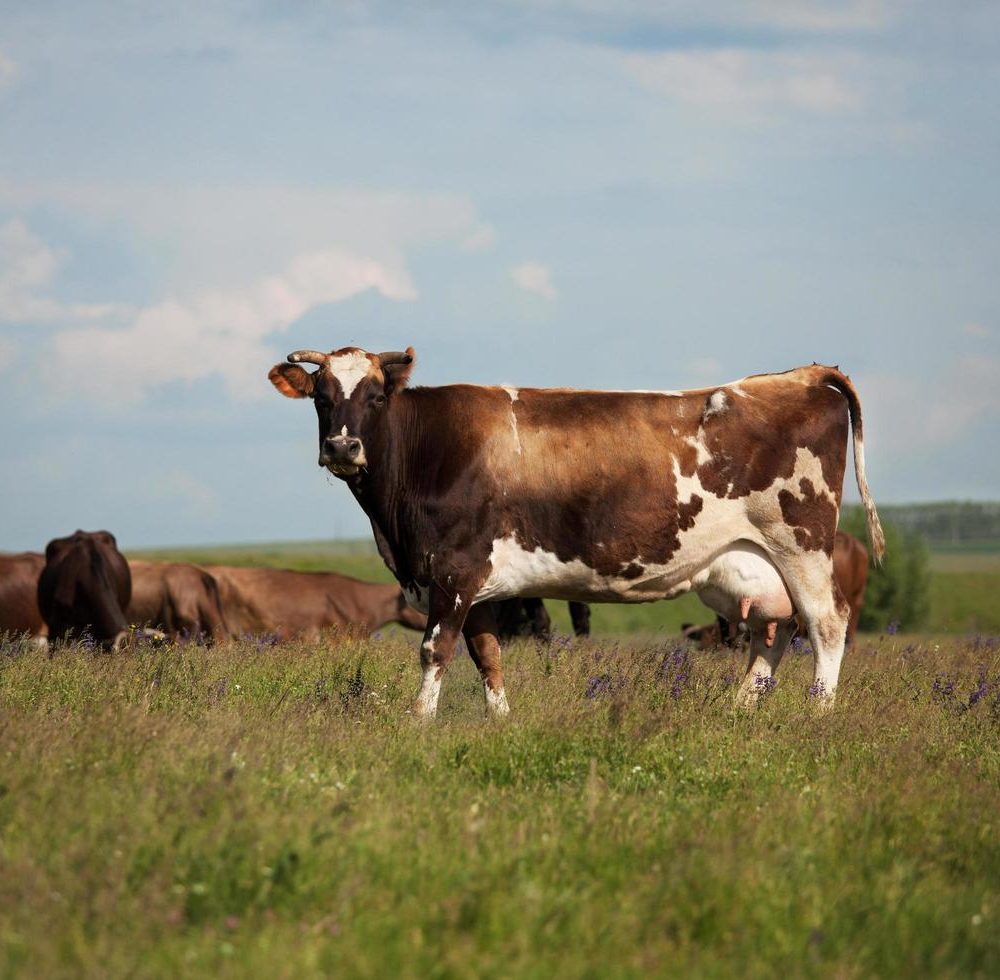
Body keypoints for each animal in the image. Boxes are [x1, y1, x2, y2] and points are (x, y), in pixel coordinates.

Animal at [269, 346, 884, 716]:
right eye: (321, 398)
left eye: (375, 397)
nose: (342, 447)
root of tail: (798, 376)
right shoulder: (477, 584)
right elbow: (487, 655)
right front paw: (501, 723)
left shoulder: (453, 572)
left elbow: (434, 649)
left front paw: (418, 723)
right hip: (753, 564)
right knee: (771, 633)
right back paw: (739, 711)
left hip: (801, 544)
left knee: (826, 623)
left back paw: (817, 711)